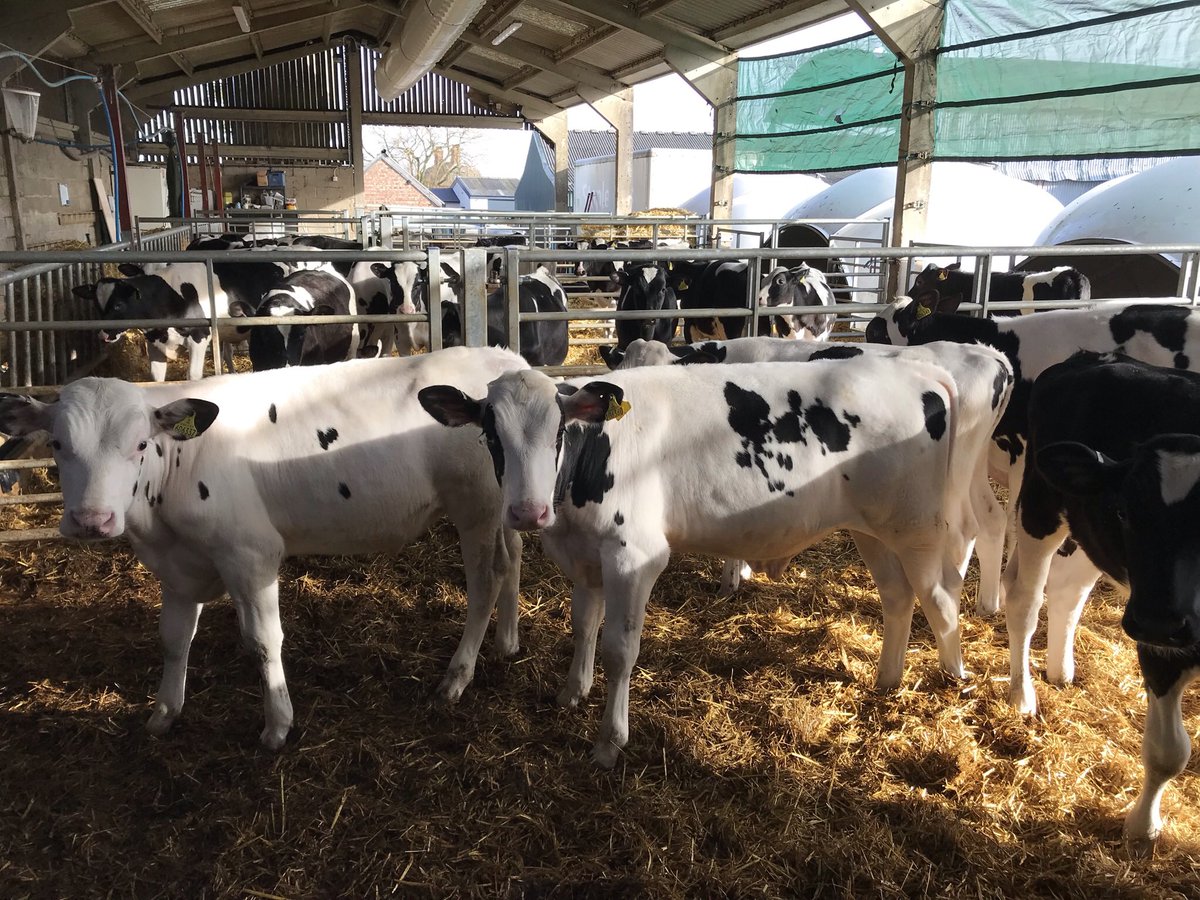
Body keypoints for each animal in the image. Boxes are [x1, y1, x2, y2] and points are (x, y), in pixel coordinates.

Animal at [0, 347, 529, 749]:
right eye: (58, 444)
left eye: (139, 445)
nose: (92, 520)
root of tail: (501, 358)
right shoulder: (178, 568)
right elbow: (173, 638)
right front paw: (163, 713)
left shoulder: (250, 556)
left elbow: (262, 640)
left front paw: (277, 726)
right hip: (503, 506)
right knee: (514, 556)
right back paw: (507, 643)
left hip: (475, 507)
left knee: (486, 580)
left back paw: (457, 677)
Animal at [419, 355, 986, 767]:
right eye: (491, 435)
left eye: (559, 431)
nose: (526, 511)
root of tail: (915, 369)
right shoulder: (586, 556)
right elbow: (583, 627)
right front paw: (571, 693)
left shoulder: (634, 557)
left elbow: (619, 650)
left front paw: (609, 740)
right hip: (874, 531)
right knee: (897, 596)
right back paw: (888, 679)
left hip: (917, 528)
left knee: (940, 598)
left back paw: (954, 677)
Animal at [605, 336, 1013, 608]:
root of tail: (989, 354)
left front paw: (730, 581)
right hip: (973, 467)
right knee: (990, 519)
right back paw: (987, 604)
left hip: (953, 478)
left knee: (962, 530)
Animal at [1003, 351, 1200, 850]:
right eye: (1125, 511)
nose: (1154, 620)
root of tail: (1093, 357)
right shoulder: (1165, 641)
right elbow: (1168, 752)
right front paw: (1142, 829)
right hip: (1042, 503)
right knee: (1024, 600)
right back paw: (1022, 694)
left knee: (1067, 588)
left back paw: (1061, 671)